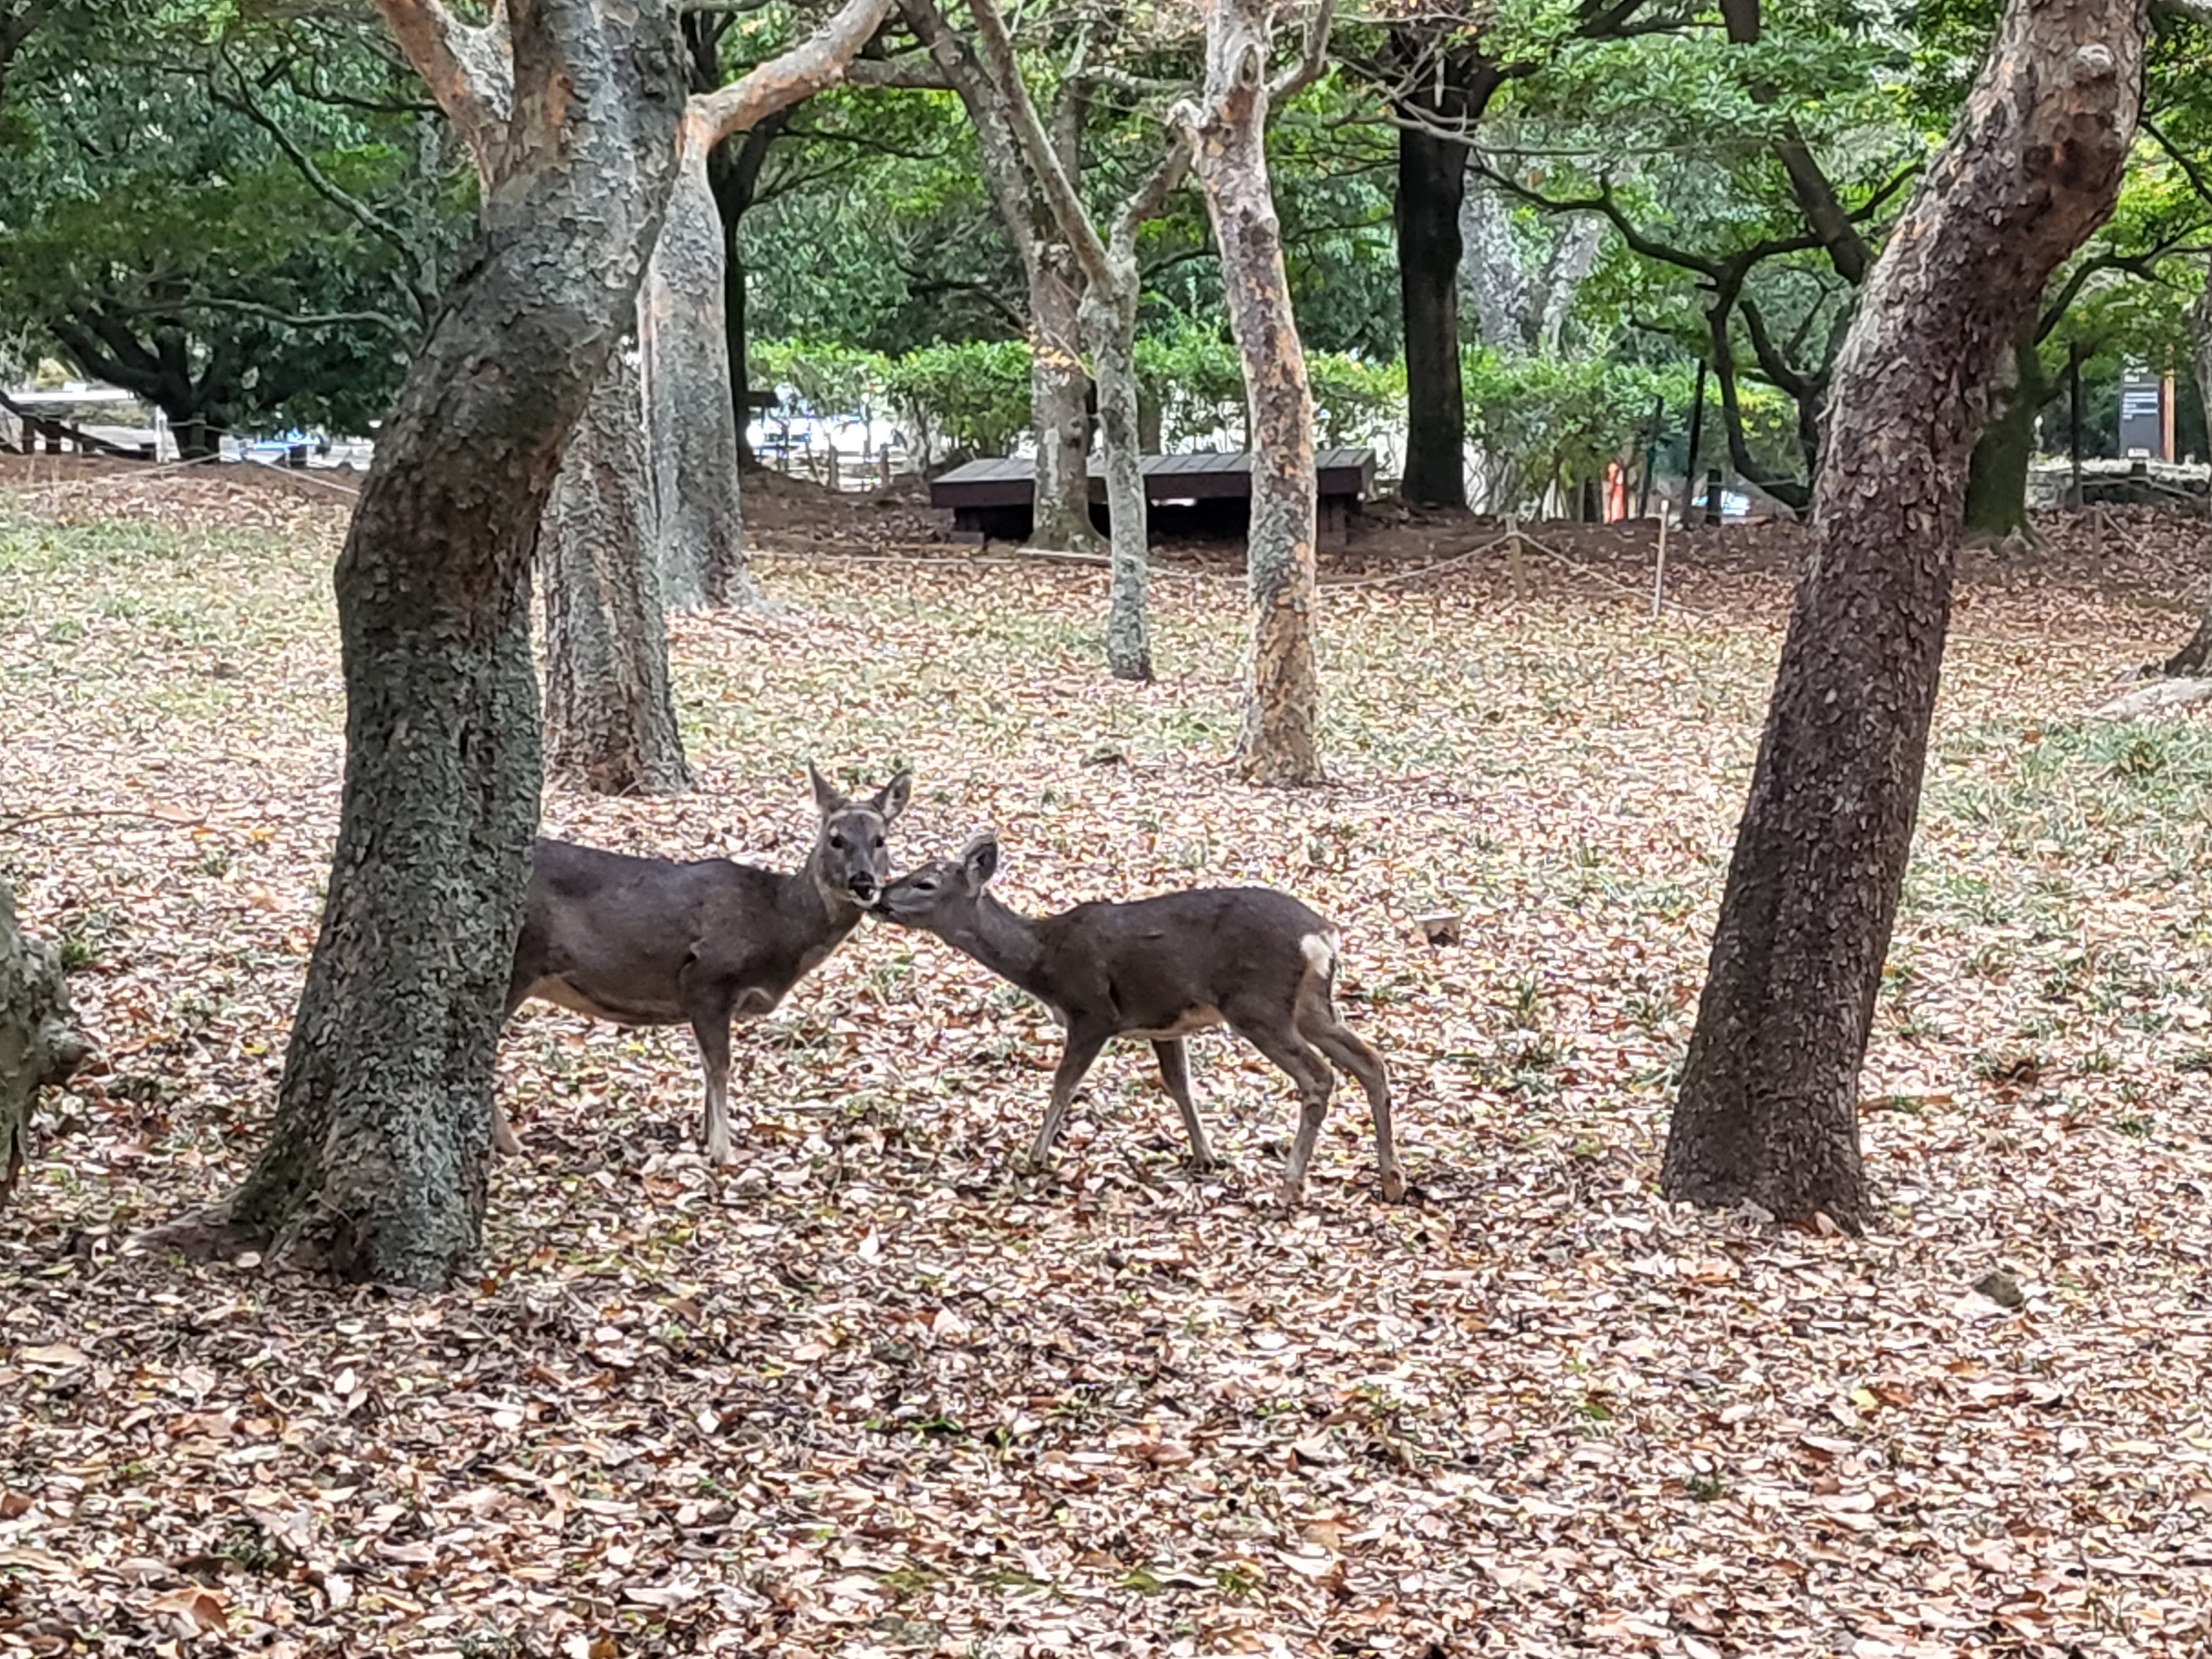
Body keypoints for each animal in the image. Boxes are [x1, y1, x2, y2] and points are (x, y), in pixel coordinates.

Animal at [498, 770, 911, 1168]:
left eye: (881, 839)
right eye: (836, 839)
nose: (864, 883)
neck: (778, 922)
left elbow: (705, 1065)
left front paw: (705, 1137)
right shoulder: (709, 979)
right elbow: (720, 1066)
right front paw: (723, 1152)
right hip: (520, 962)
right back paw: (511, 1144)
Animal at [867, 832, 1398, 1212]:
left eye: (925, 883)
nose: (877, 896)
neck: (1041, 959)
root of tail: (1322, 936)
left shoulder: (1091, 1011)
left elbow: (1063, 1085)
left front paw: (1034, 1158)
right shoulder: (1163, 1024)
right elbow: (1179, 1085)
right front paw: (1206, 1155)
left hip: (1258, 1005)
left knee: (1320, 1076)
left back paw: (1290, 1188)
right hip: (1310, 1006)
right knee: (1369, 1060)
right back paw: (1392, 1180)